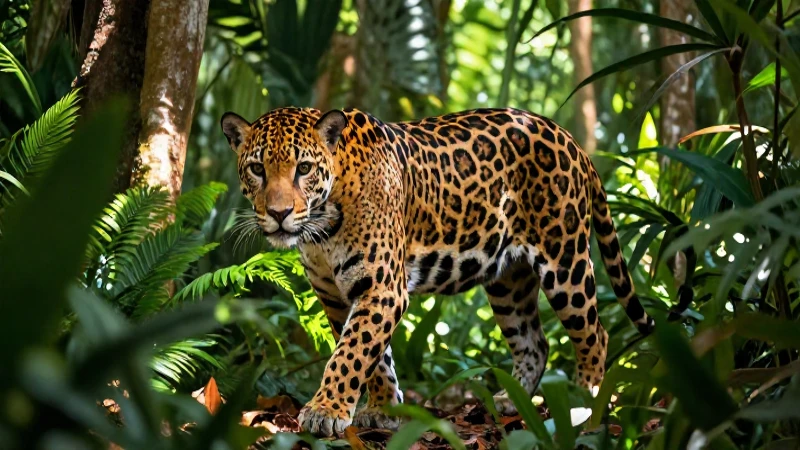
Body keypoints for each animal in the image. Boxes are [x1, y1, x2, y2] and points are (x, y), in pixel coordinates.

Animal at [220, 106, 655, 437]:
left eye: (304, 168)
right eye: (257, 169)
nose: (278, 213)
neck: (322, 226)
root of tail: (567, 137)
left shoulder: (382, 287)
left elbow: (350, 353)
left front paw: (326, 410)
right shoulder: (336, 295)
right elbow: (373, 357)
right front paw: (384, 409)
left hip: (565, 260)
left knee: (594, 334)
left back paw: (582, 407)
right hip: (508, 282)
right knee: (535, 342)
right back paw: (510, 401)